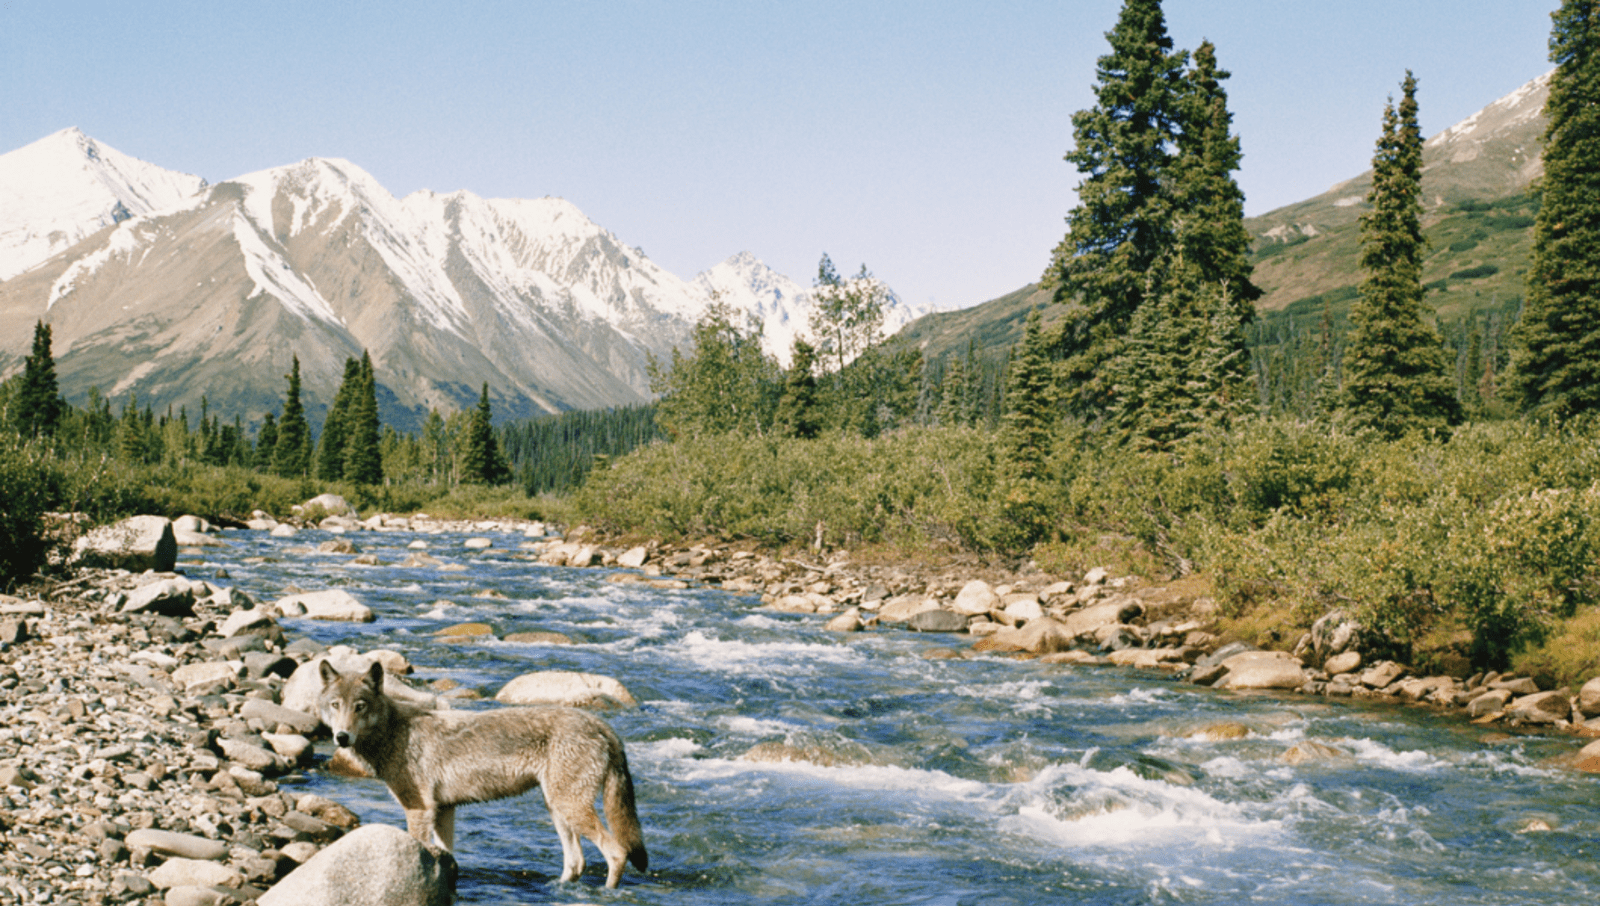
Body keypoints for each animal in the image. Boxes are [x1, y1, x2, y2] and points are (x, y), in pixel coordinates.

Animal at [315, 659, 646, 889]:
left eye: (360, 706)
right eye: (335, 705)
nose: (341, 737)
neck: (395, 733)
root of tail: (599, 723)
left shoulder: (418, 809)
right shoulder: (444, 810)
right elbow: (448, 858)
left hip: (569, 807)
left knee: (616, 853)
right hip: (557, 809)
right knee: (577, 862)